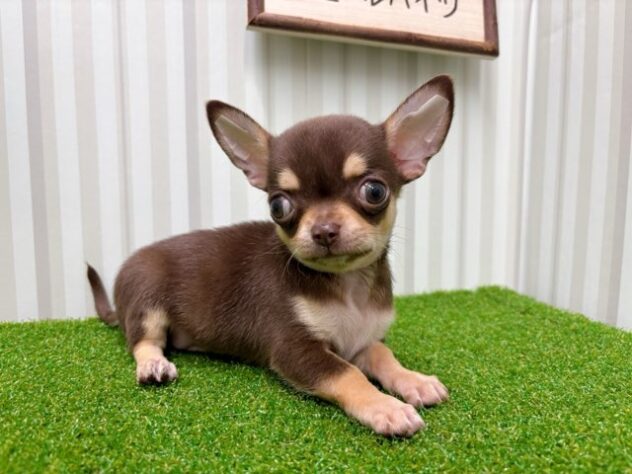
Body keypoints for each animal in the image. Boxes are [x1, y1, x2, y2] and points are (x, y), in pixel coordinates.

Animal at [87, 75, 454, 437]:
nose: (323, 231)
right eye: (278, 206)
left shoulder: (363, 342)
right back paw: (153, 364)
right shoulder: (295, 349)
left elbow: (384, 356)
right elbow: (349, 374)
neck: (348, 285)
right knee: (142, 341)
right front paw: (386, 408)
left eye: (375, 191)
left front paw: (414, 381)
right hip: (146, 304)